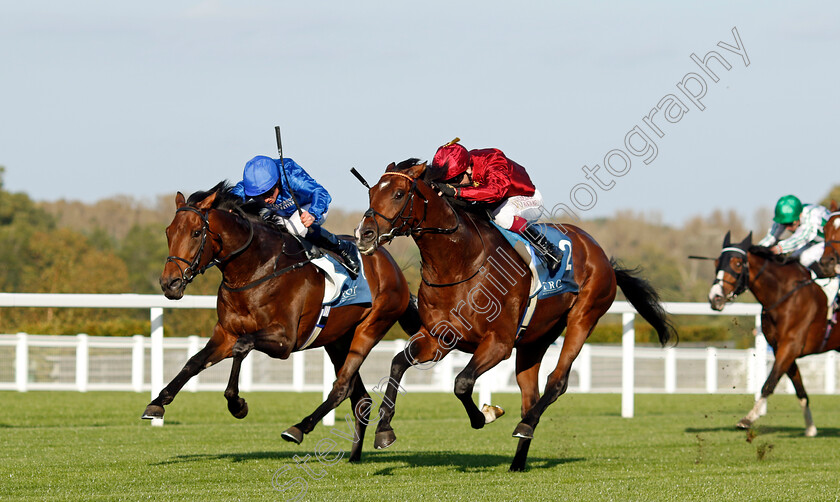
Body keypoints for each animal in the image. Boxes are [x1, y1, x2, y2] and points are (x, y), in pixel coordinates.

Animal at [146, 182, 420, 460]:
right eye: (169, 232)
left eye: (195, 232)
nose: (170, 283)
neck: (255, 270)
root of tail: (393, 266)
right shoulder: (225, 334)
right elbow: (194, 362)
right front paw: (157, 403)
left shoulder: (284, 340)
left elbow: (242, 347)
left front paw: (237, 404)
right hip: (337, 340)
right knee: (360, 398)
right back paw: (354, 455)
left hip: (370, 328)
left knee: (342, 386)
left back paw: (299, 428)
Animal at [354, 160, 676, 470]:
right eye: (371, 193)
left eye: (398, 194)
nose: (364, 235)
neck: (459, 265)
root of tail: (599, 253)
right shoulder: (439, 337)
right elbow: (398, 363)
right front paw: (384, 429)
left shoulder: (499, 342)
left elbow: (462, 383)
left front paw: (485, 415)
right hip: (536, 339)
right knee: (529, 395)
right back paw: (518, 461)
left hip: (584, 317)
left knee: (557, 382)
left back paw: (525, 426)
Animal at [708, 231, 840, 436]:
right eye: (716, 263)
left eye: (737, 263)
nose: (715, 298)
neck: (784, 294)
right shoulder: (782, 348)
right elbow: (800, 390)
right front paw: (810, 428)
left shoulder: (790, 345)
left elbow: (769, 383)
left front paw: (748, 419)